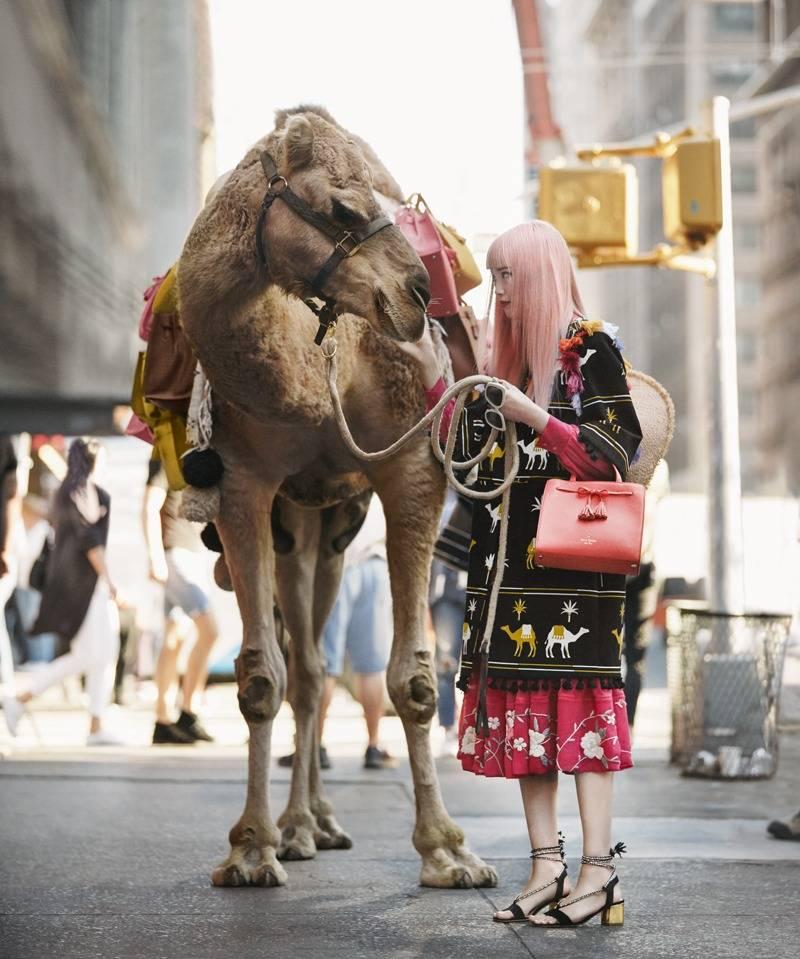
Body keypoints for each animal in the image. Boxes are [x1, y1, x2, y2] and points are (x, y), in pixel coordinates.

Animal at [178, 107, 496, 892]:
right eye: (342, 208)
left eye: (391, 201)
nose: (418, 294)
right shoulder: (243, 480)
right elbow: (261, 676)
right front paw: (251, 849)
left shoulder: (412, 466)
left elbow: (414, 679)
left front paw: (449, 851)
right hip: (300, 517)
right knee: (310, 671)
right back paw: (299, 829)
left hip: (337, 520)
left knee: (320, 665)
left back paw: (317, 822)